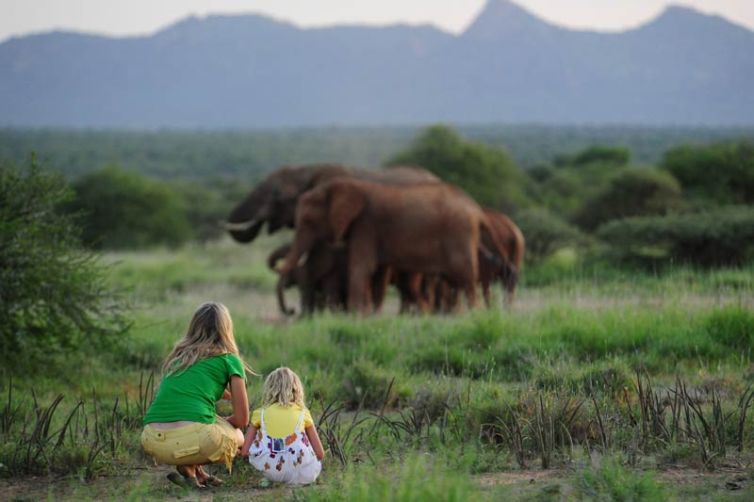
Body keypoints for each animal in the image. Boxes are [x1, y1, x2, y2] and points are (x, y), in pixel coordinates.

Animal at [278, 178, 501, 314]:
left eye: (307, 221)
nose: (291, 310)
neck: (346, 186)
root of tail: (477, 210)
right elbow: (377, 272)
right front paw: (368, 314)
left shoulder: (366, 225)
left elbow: (361, 267)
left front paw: (355, 314)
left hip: (459, 236)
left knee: (466, 278)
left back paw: (473, 314)